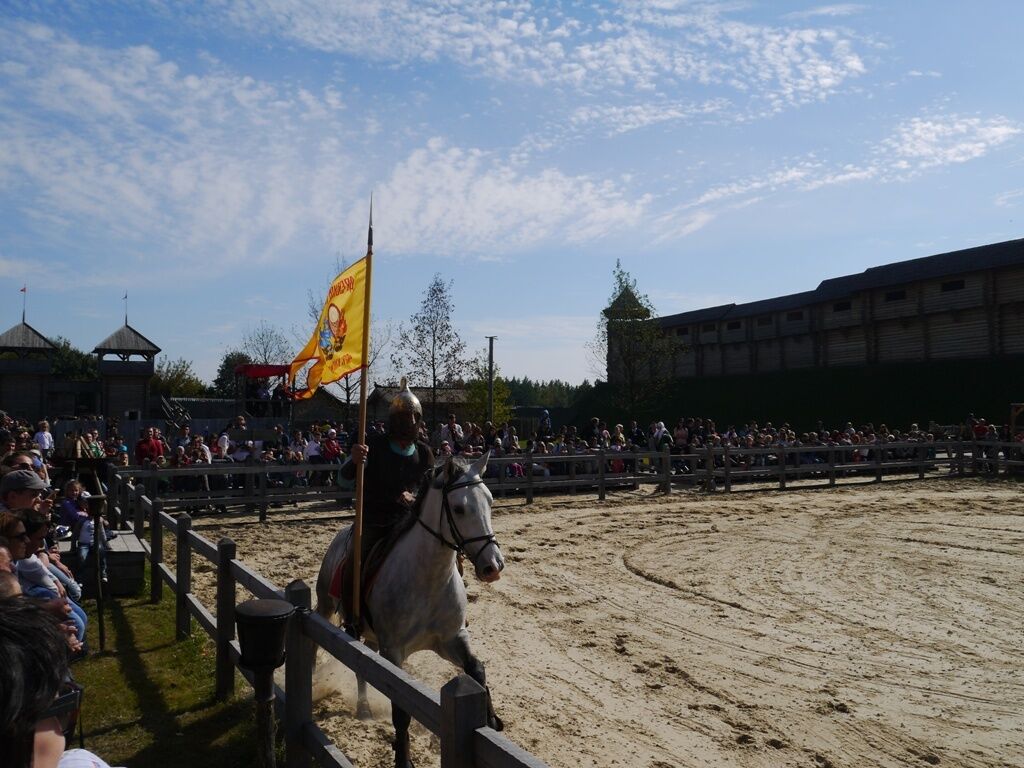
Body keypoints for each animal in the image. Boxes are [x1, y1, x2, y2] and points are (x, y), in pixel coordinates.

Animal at [313, 454, 501, 765]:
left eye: (489, 500)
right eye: (459, 508)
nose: (493, 566)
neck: (427, 580)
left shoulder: (451, 639)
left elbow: (476, 668)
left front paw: (491, 720)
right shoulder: (393, 651)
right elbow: (400, 708)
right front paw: (403, 758)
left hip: (370, 637)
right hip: (327, 607)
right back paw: (359, 706)